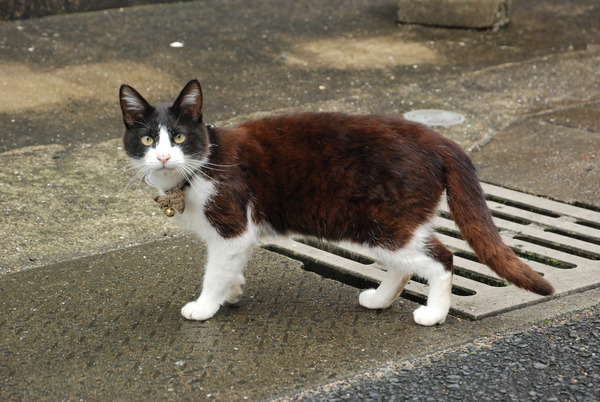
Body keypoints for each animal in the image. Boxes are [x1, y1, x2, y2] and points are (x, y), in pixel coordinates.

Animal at [119, 79, 556, 326]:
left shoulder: (230, 226)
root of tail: (439, 140)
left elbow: (215, 271)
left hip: (378, 222)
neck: (201, 163)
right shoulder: (236, 237)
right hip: (384, 224)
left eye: (178, 137)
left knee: (441, 258)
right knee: (407, 264)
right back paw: (379, 299)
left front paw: (206, 306)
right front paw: (233, 291)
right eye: (147, 139)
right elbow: (230, 268)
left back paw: (433, 314)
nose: (163, 156)